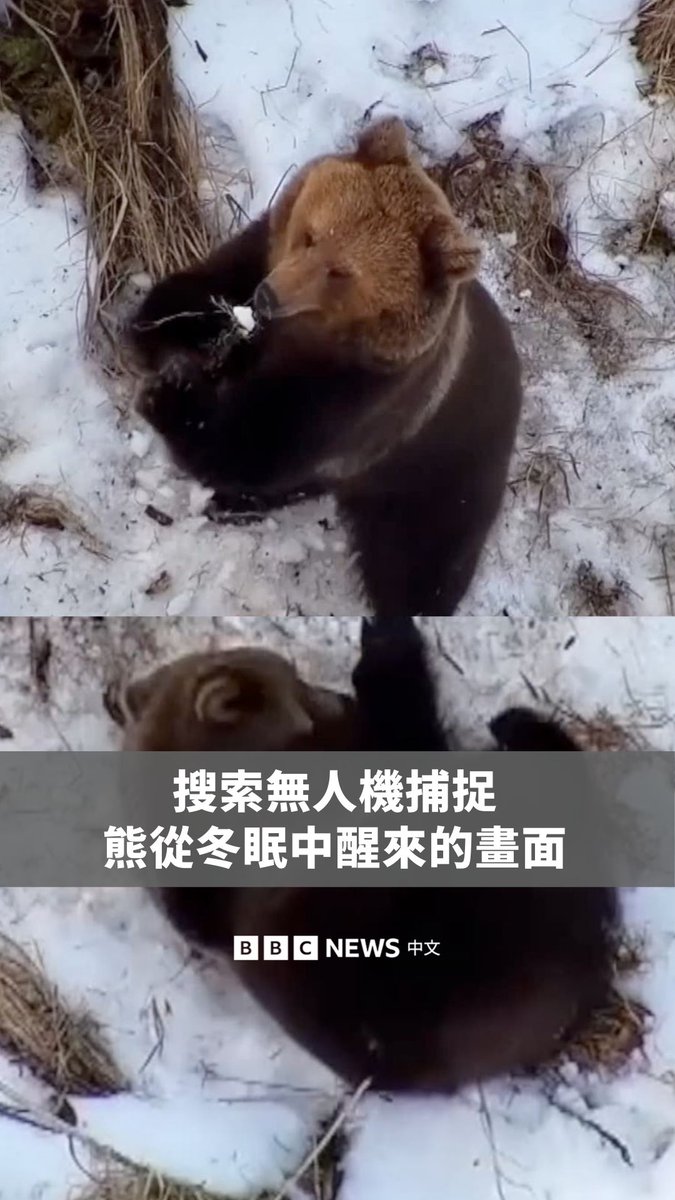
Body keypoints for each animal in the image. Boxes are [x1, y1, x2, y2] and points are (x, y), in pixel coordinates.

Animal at [128, 117, 523, 616]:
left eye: (342, 273)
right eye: (310, 233)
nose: (268, 296)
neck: (316, 335)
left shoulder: (363, 393)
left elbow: (256, 442)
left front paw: (171, 393)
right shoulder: (260, 252)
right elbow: (196, 291)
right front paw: (168, 331)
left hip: (442, 474)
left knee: (422, 564)